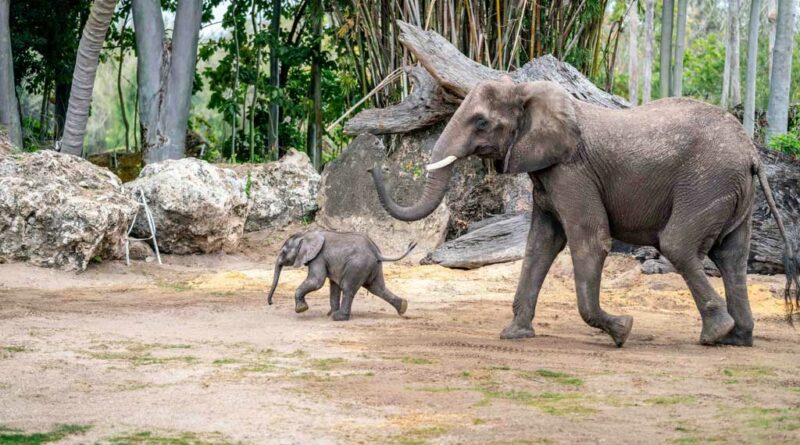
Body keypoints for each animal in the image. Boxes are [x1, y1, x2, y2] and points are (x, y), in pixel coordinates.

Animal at [268, 229, 418, 320]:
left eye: (283, 252)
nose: (270, 303)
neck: (305, 234)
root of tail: (377, 253)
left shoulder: (318, 256)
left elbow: (317, 281)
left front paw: (301, 309)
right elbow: (333, 286)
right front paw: (329, 313)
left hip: (357, 265)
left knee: (348, 288)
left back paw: (339, 318)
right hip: (371, 266)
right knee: (377, 288)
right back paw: (403, 307)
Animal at [372, 77, 796, 346]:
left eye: (481, 122)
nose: (374, 162)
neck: (526, 91)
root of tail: (753, 153)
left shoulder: (571, 171)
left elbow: (589, 241)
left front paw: (622, 331)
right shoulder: (548, 174)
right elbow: (541, 244)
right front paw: (515, 335)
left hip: (707, 182)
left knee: (679, 245)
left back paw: (715, 335)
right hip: (732, 191)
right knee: (731, 257)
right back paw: (737, 338)